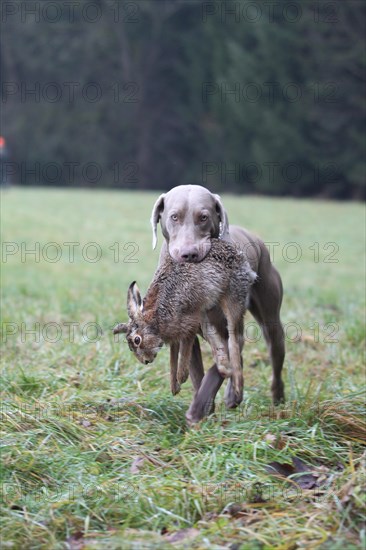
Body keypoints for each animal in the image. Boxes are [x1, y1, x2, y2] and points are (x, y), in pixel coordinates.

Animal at [150, 183, 284, 424]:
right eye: (174, 217)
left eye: (204, 217)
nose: (189, 254)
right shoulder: (187, 335)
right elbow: (197, 375)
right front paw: (206, 409)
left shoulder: (230, 328)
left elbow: (217, 369)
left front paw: (197, 411)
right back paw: (233, 396)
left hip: (270, 321)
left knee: (271, 353)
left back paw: (277, 399)